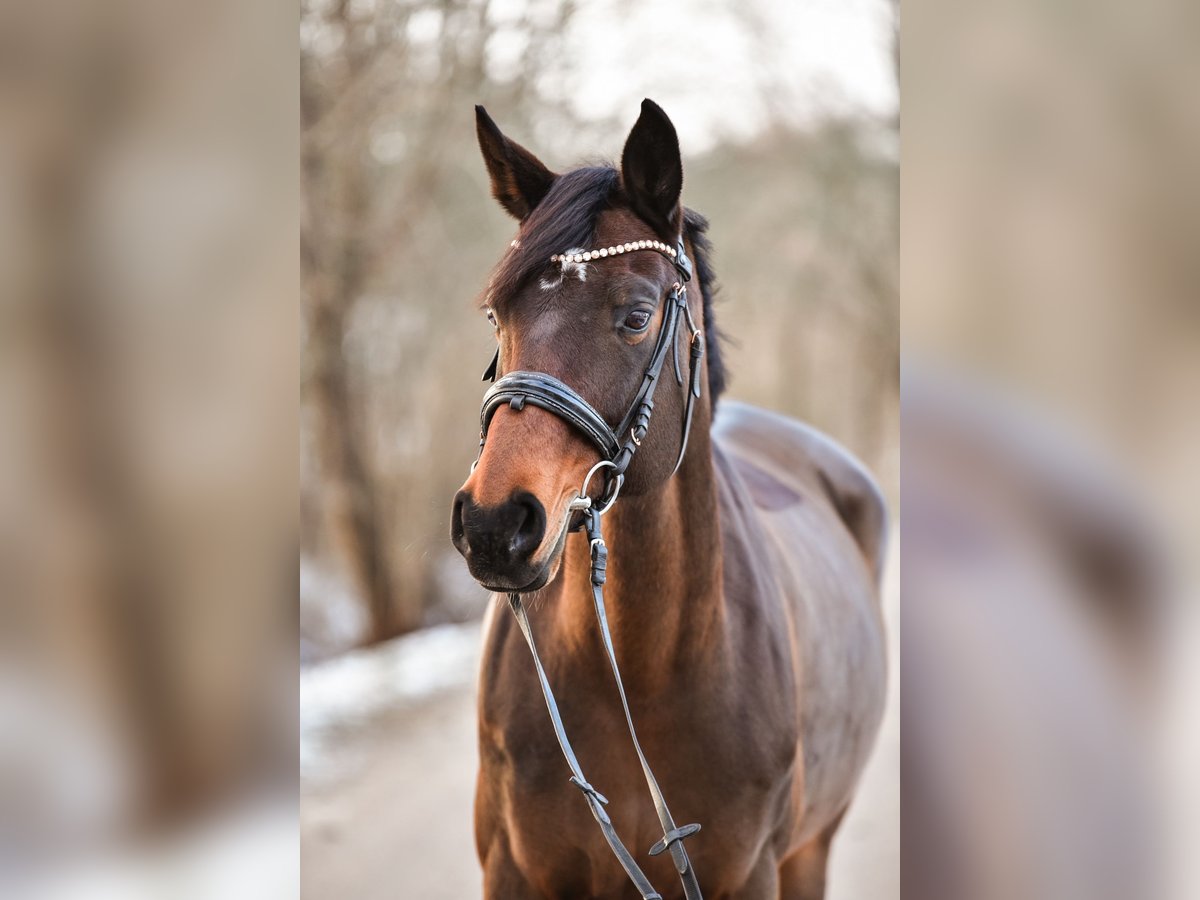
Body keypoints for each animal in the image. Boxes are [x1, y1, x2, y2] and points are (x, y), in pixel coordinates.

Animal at [451, 100, 892, 900]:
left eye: (636, 315)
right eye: (498, 316)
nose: (495, 524)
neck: (635, 670)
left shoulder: (751, 874)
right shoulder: (511, 872)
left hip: (810, 851)